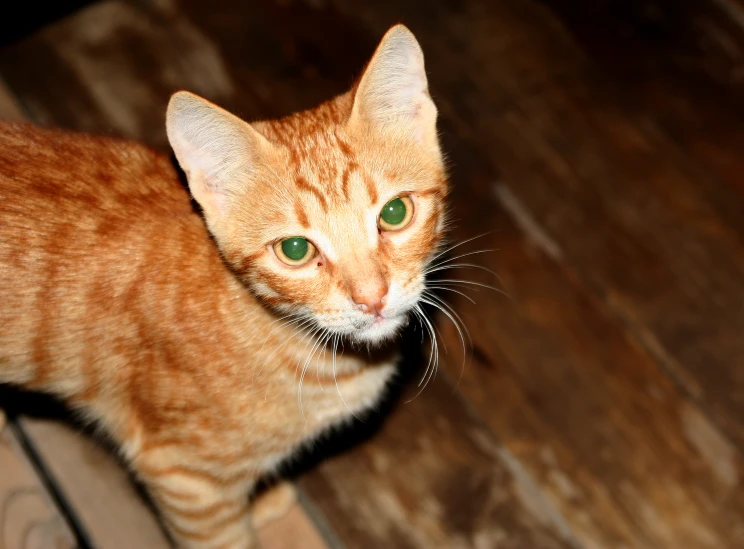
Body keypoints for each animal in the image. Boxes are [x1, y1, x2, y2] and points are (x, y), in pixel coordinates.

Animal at [0, 24, 448, 544]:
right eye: (295, 250)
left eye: (394, 213)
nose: (372, 298)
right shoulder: (185, 478)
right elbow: (226, 537)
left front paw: (261, 500)